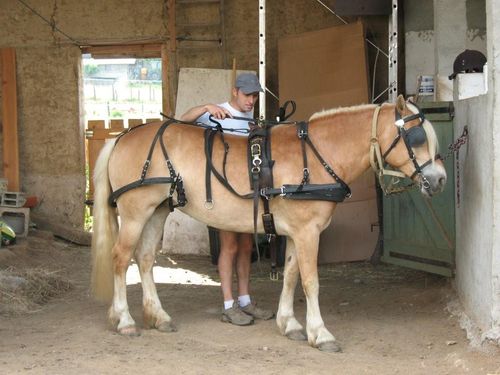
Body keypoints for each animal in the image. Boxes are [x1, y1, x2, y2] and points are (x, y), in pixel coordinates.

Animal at [89, 94, 446, 352]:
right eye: (416, 137)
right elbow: (311, 281)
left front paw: (290, 324)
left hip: (158, 210)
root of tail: (122, 137)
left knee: (145, 259)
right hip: (134, 212)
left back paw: (158, 316)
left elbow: (290, 276)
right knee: (121, 259)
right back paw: (124, 320)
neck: (316, 156)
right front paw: (320, 333)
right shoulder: (308, 232)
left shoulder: (297, 232)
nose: (440, 179)